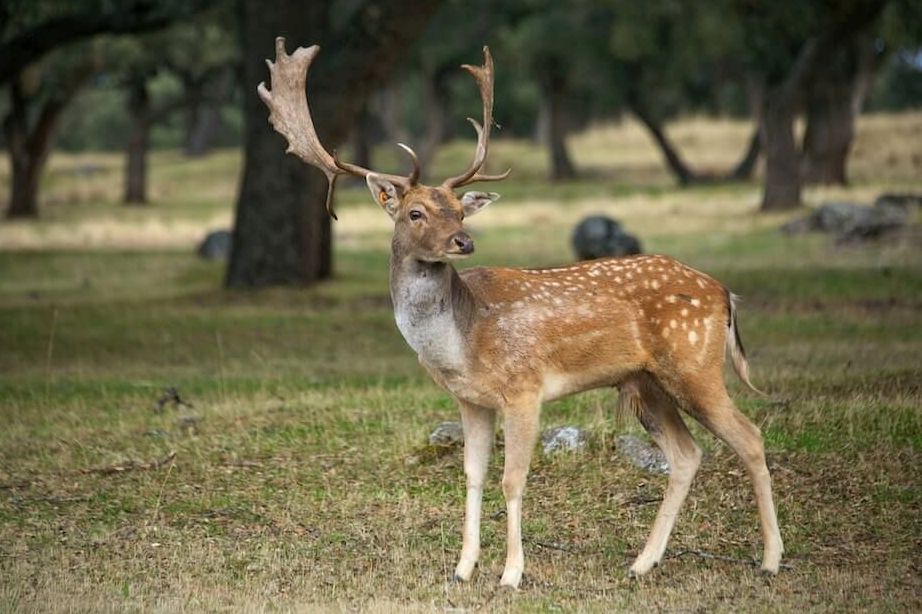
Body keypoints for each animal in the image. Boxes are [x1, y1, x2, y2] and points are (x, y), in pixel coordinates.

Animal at [257, 38, 784, 589]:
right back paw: (643, 562)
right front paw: (463, 568)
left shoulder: (524, 389)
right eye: (415, 212)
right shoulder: (471, 401)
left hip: (693, 363)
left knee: (750, 437)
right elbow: (472, 475)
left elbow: (513, 480)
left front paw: (511, 573)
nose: (463, 240)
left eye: (458, 210)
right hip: (647, 382)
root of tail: (724, 293)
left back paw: (770, 558)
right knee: (687, 455)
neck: (461, 342)